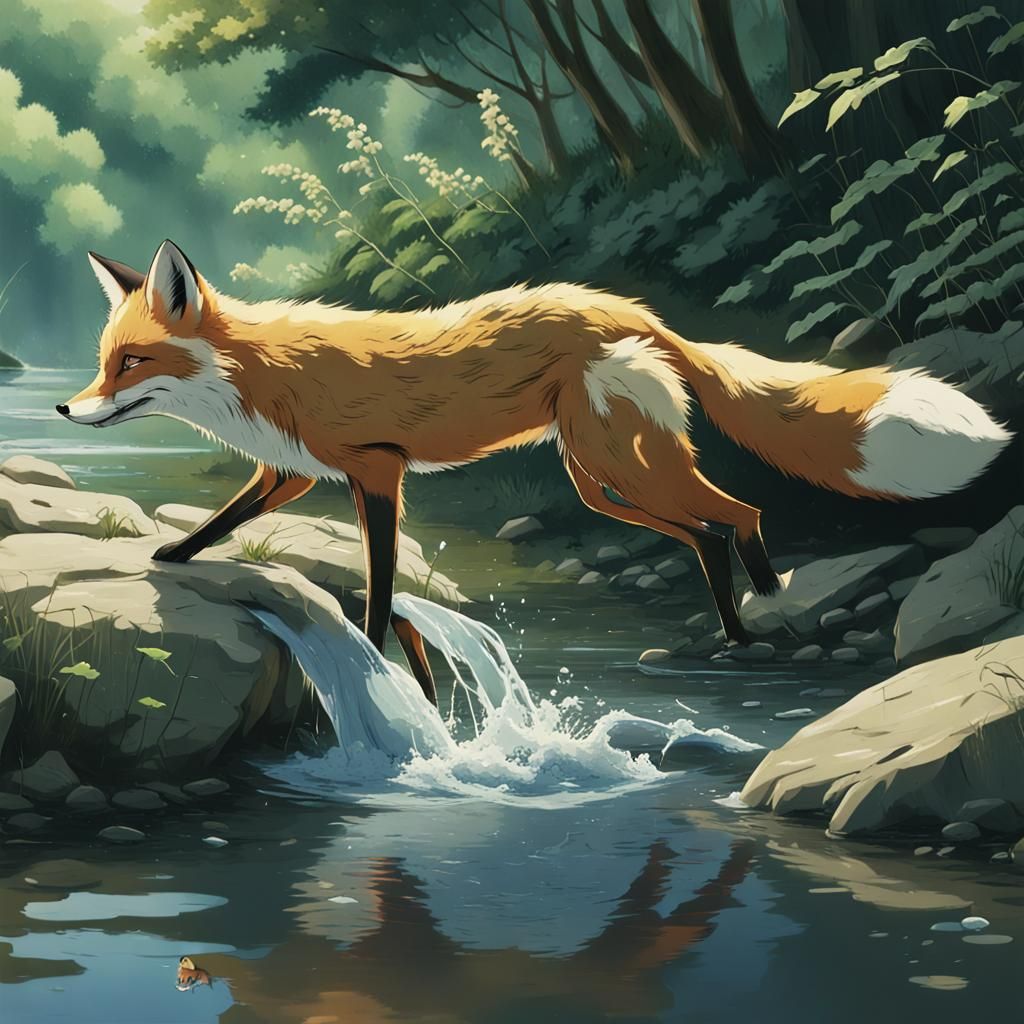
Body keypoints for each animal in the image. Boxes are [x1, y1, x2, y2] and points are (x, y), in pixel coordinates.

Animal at [61, 240, 1011, 696]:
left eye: (129, 364)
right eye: (104, 362)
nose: (69, 410)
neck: (262, 375)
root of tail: (626, 306)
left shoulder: (376, 471)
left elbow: (377, 588)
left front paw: (373, 656)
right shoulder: (297, 475)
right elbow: (228, 521)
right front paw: (173, 556)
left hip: (618, 464)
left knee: (741, 512)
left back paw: (763, 618)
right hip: (600, 481)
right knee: (706, 530)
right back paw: (737, 626)